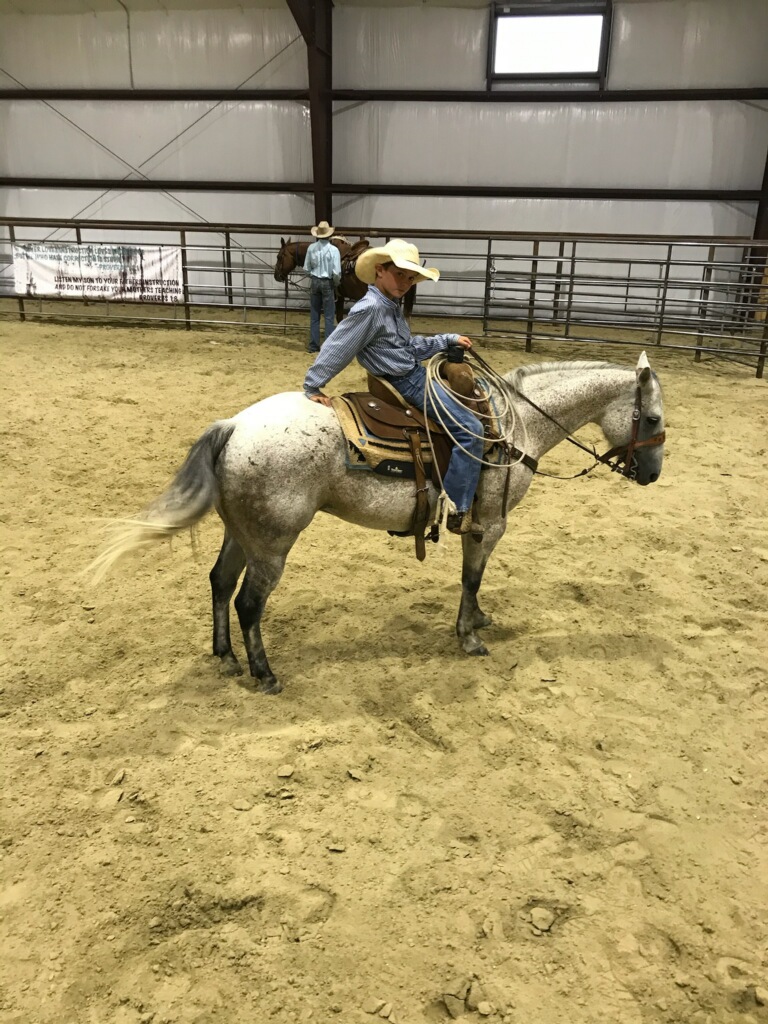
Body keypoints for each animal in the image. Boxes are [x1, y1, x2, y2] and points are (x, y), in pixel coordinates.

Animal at [89, 352, 665, 695]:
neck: (515, 426)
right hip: (273, 544)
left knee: (218, 583)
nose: (653, 474)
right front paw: (468, 637)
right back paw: (265, 674)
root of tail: (233, 426)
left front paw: (478, 620)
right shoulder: (488, 524)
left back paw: (226, 656)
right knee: (249, 603)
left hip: (242, 534)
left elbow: (474, 583)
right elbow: (471, 576)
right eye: (655, 418)